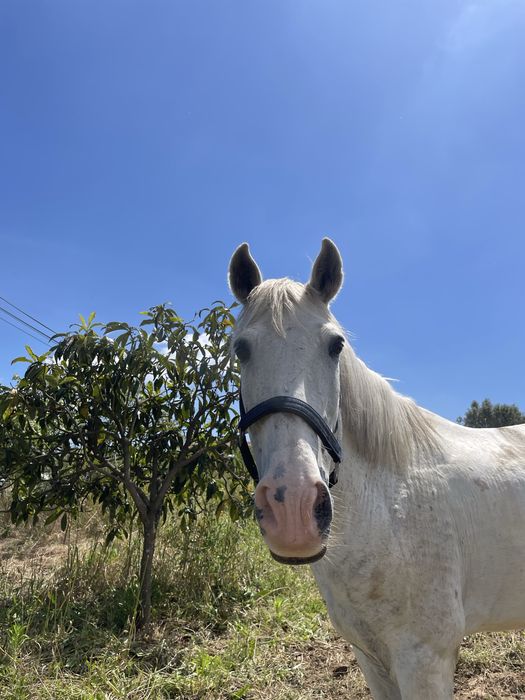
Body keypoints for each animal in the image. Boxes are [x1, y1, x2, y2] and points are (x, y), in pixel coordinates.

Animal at [228, 239, 525, 699]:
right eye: (241, 349)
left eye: (335, 345)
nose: (293, 508)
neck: (389, 509)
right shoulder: (371, 658)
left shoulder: (425, 661)